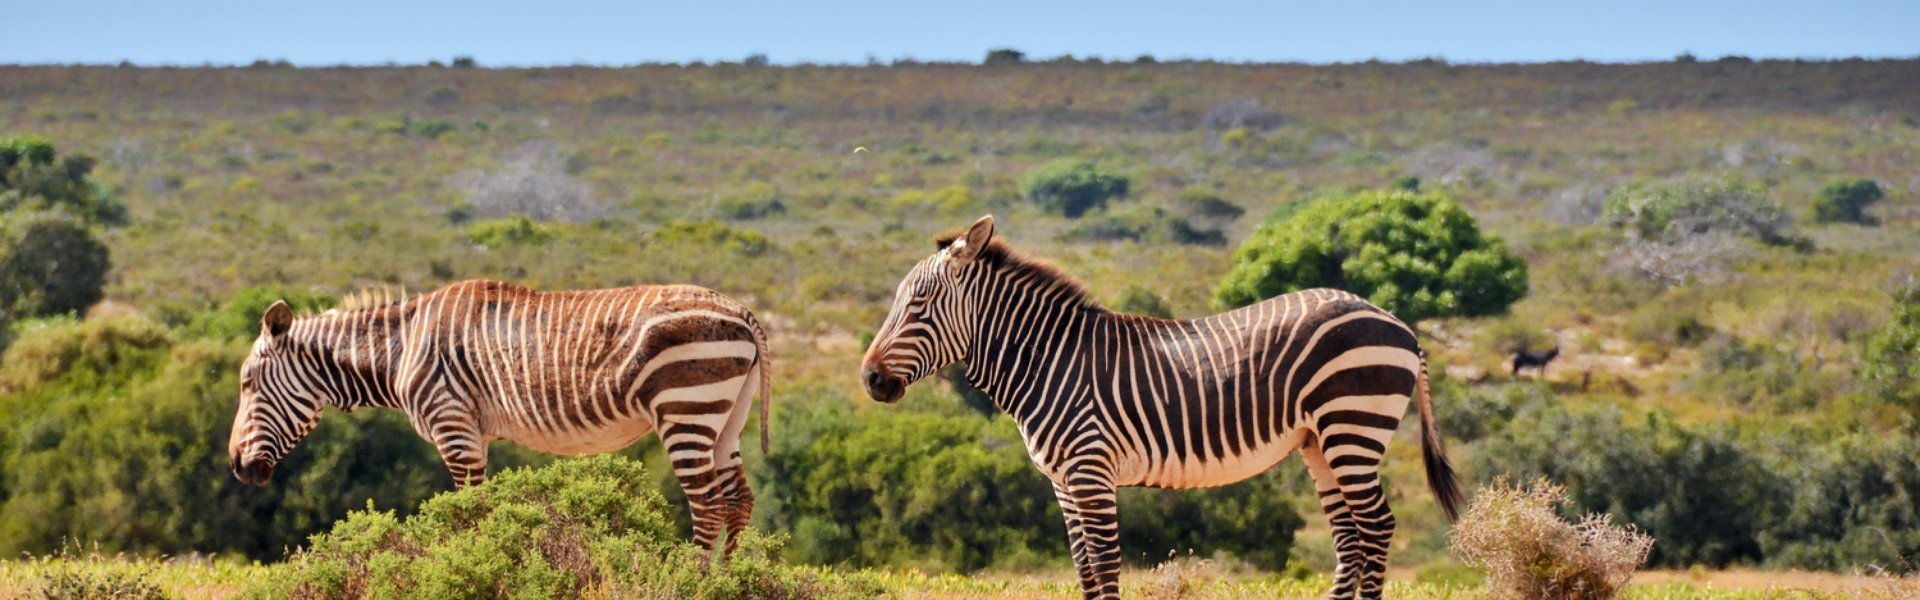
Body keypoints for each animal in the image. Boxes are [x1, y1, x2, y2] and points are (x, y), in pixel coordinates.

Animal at [236, 278, 775, 553]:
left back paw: (695, 577)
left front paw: (473, 566)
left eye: (246, 382)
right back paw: (729, 580)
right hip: (725, 417)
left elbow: (467, 513)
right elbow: (484, 509)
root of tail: (741, 310)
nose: (239, 468)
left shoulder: (453, 426)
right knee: (737, 500)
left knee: (708, 504)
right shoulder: (475, 434)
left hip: (685, 407)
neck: (403, 347)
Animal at [864, 216, 1459, 600]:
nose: (870, 379)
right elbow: (1084, 568)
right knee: (1349, 536)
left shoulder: (1090, 469)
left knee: (1375, 526)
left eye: (918, 305)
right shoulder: (1063, 480)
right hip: (1319, 441)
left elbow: (1105, 566)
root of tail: (1396, 322)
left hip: (1352, 425)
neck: (1049, 360)